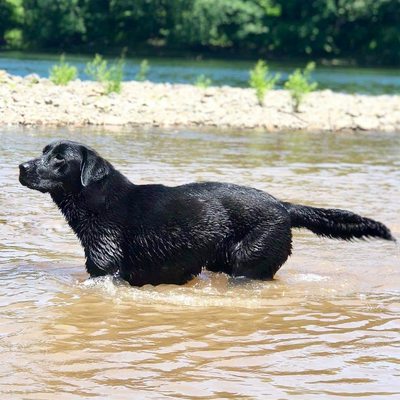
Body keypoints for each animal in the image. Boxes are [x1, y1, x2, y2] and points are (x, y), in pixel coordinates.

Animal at [18, 141, 394, 288]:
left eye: (60, 158)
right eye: (43, 151)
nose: (22, 167)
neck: (101, 202)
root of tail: (283, 205)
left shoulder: (105, 270)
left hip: (248, 262)